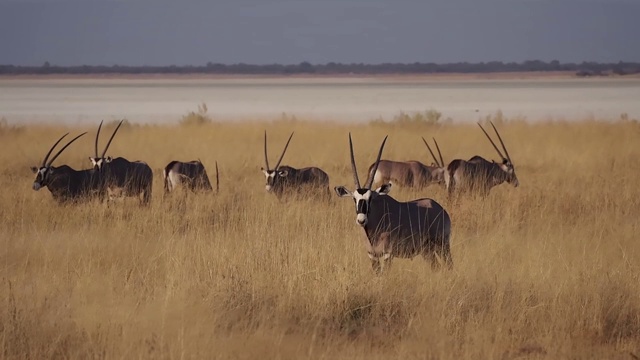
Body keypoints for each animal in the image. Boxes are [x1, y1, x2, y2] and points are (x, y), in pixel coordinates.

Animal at [336, 134, 450, 274]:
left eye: (371, 198)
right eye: (354, 198)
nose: (361, 220)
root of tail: (440, 209)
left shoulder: (388, 254)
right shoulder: (372, 255)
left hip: (443, 245)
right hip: (427, 251)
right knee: (436, 266)